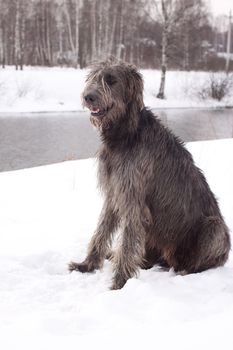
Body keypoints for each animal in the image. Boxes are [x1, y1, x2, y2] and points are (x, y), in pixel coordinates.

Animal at [68, 60, 230, 290]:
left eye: (111, 80)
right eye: (92, 78)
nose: (88, 96)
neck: (126, 134)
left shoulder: (133, 199)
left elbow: (127, 243)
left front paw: (119, 283)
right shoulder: (114, 193)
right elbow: (102, 230)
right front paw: (87, 265)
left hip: (213, 228)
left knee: (198, 261)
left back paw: (185, 271)